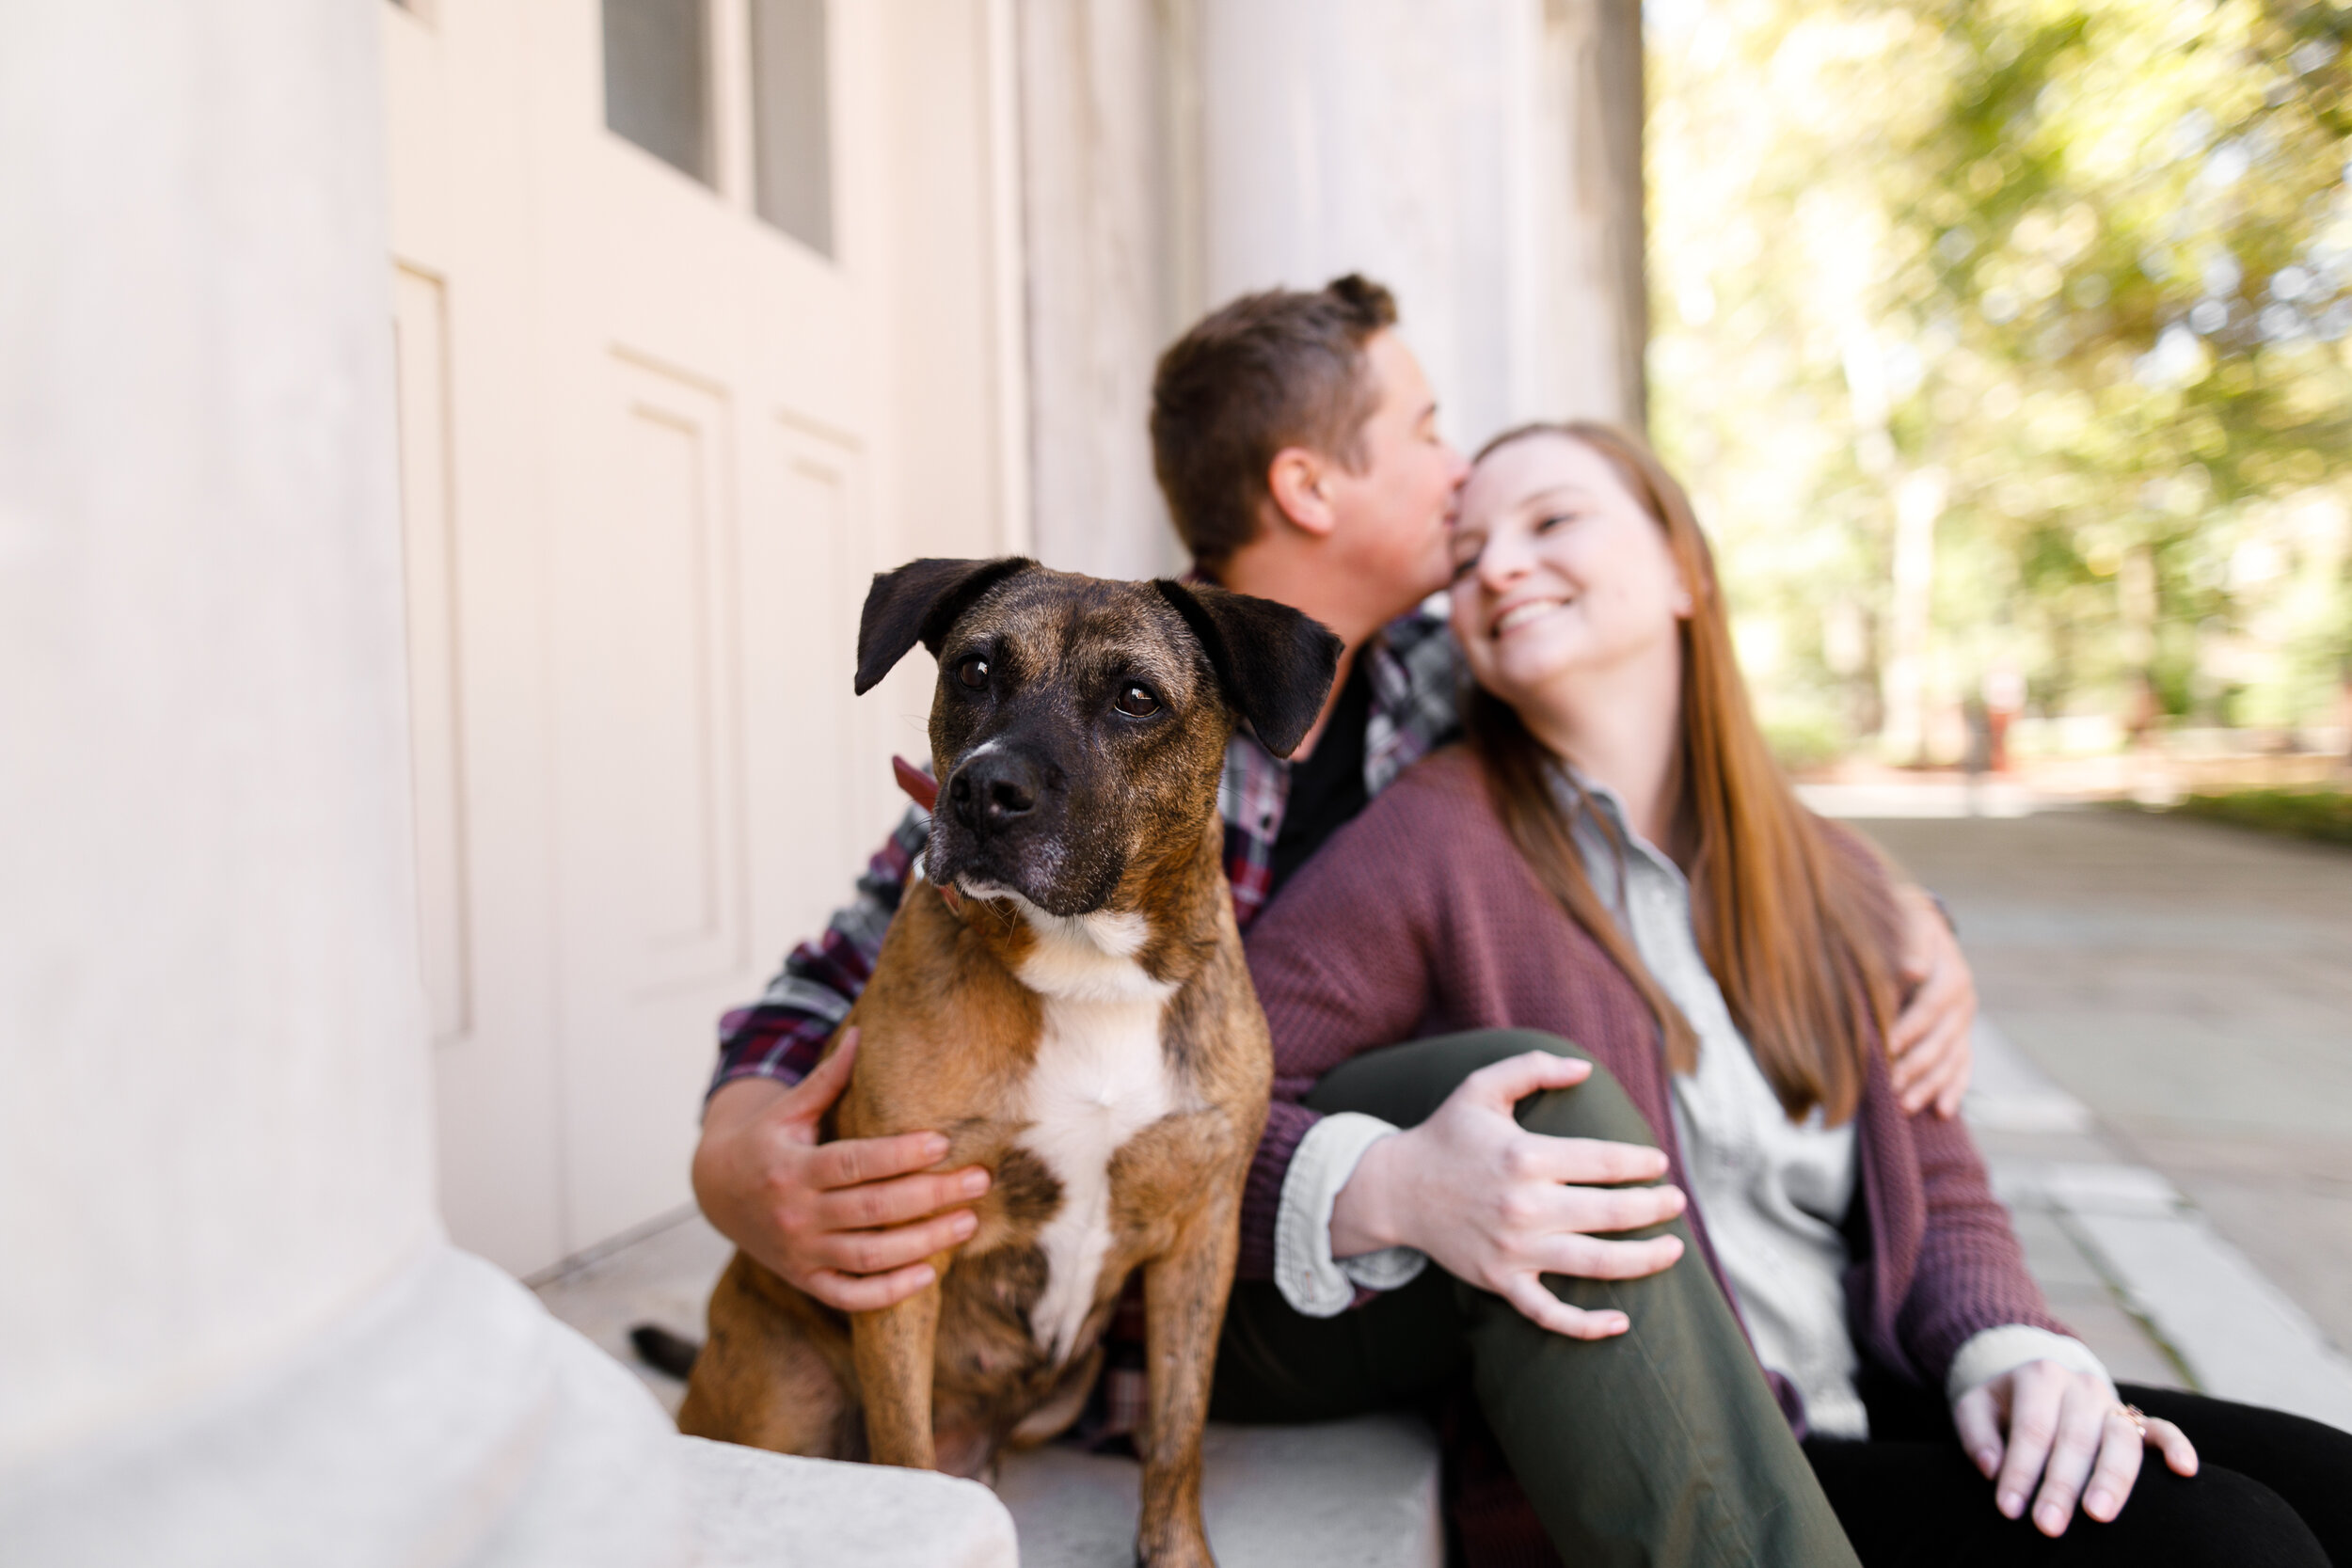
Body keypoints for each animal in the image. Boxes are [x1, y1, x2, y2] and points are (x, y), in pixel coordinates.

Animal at [687, 557, 1345, 1560]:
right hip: (783, 1396)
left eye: (1137, 697)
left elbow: (1175, 1437)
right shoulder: (900, 1249)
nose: (984, 790)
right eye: (975, 669)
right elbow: (904, 1451)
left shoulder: (1202, 1239)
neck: (1089, 968)